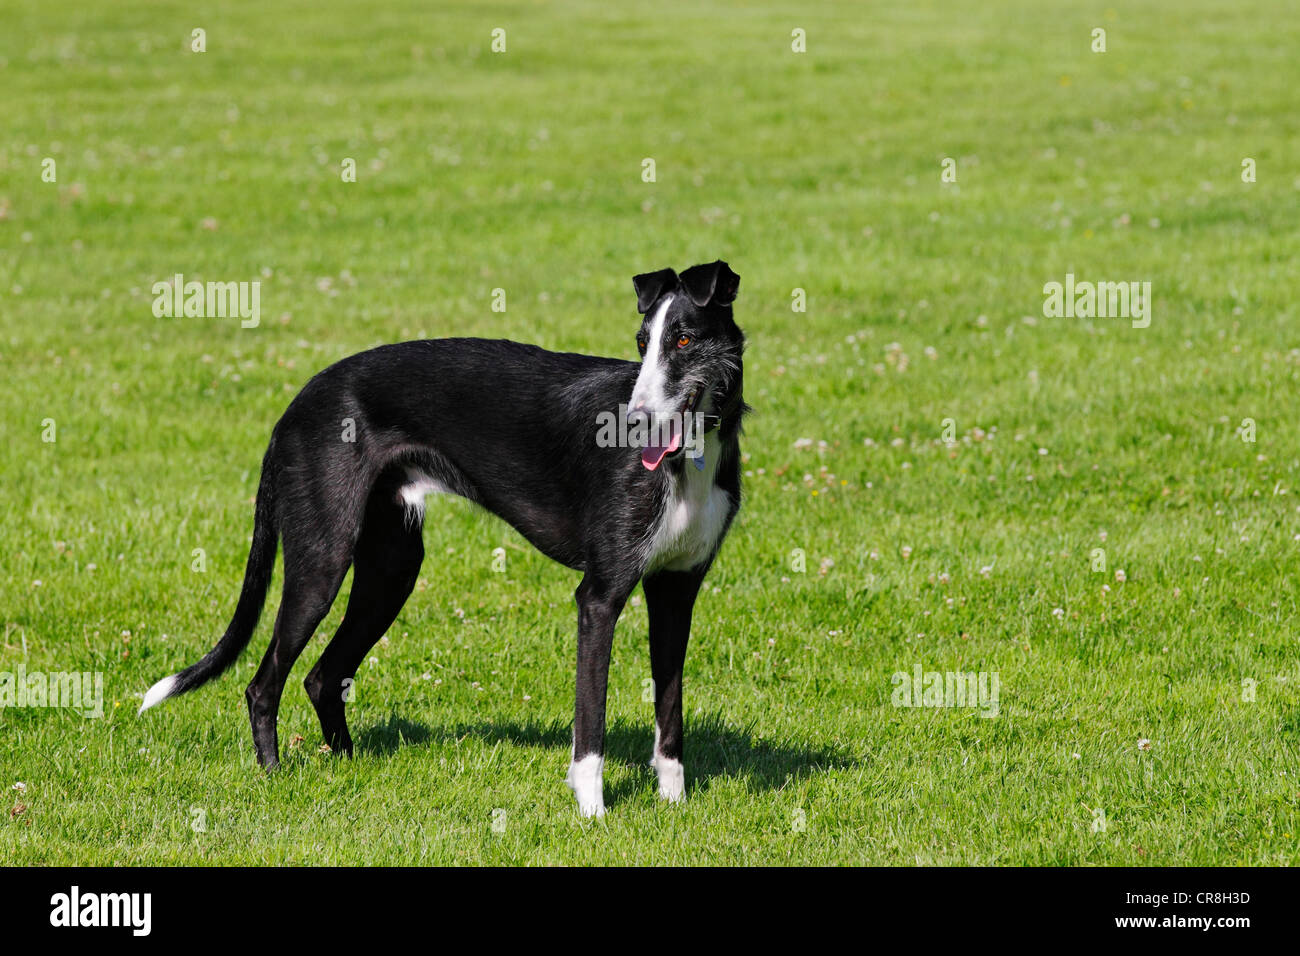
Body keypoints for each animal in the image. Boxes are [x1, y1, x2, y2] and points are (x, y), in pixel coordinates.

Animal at [137, 260, 748, 816]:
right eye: (641, 343)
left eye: (684, 339)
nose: (635, 422)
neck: (688, 461)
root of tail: (296, 403)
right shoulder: (600, 596)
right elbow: (589, 726)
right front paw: (593, 816)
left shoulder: (675, 590)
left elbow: (670, 713)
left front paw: (675, 807)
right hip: (321, 562)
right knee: (264, 684)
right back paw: (272, 776)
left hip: (391, 568)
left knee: (321, 676)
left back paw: (347, 767)